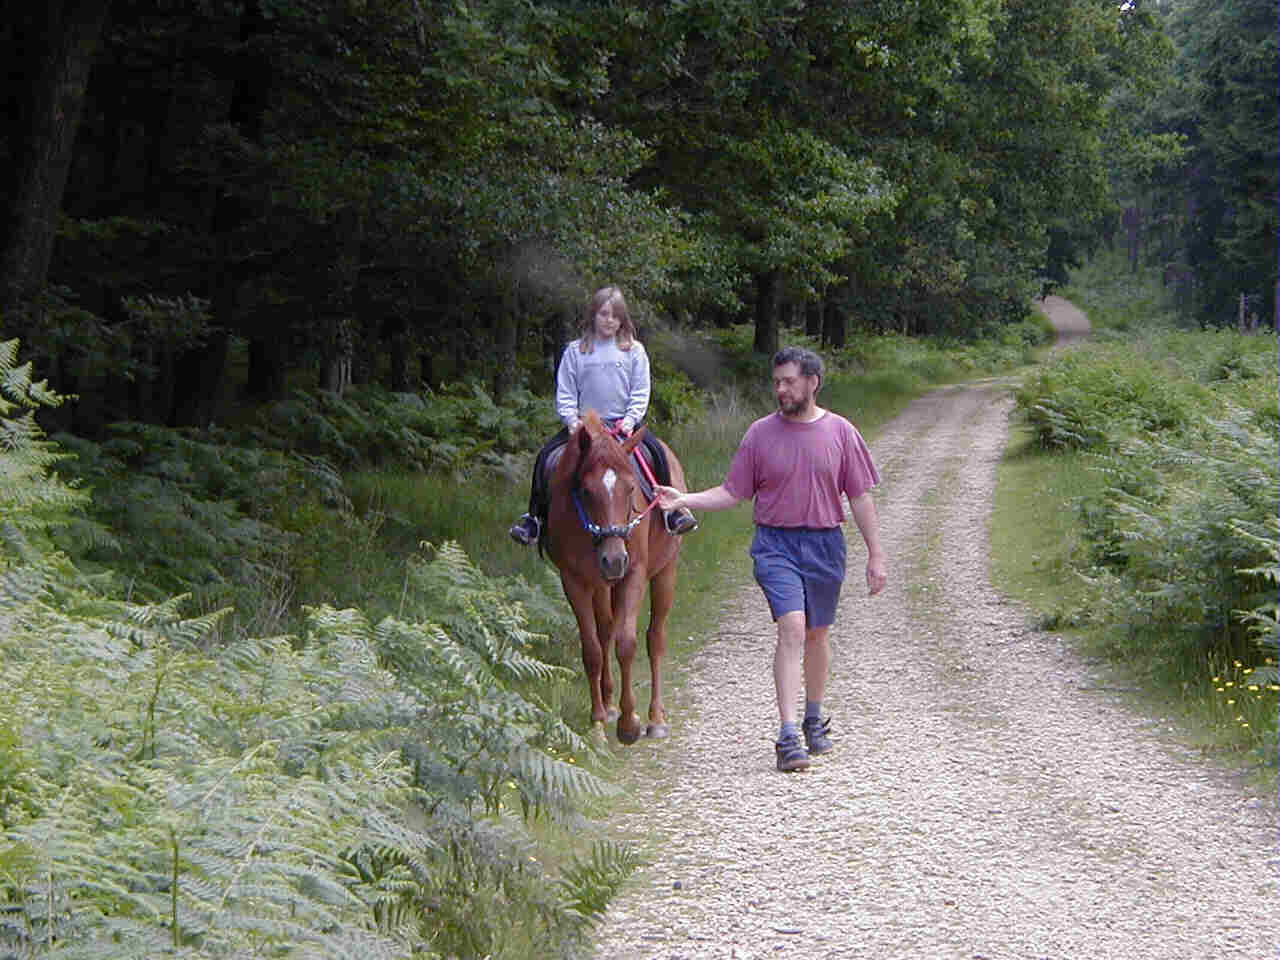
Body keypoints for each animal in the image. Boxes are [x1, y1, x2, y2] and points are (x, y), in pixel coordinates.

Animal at [542, 409, 686, 747]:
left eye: (631, 489)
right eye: (585, 491)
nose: (614, 559)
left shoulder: (633, 576)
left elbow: (627, 643)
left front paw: (629, 723)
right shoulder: (574, 581)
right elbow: (593, 649)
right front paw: (597, 721)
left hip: (664, 573)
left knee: (655, 638)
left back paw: (655, 718)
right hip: (601, 584)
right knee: (605, 630)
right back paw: (607, 705)